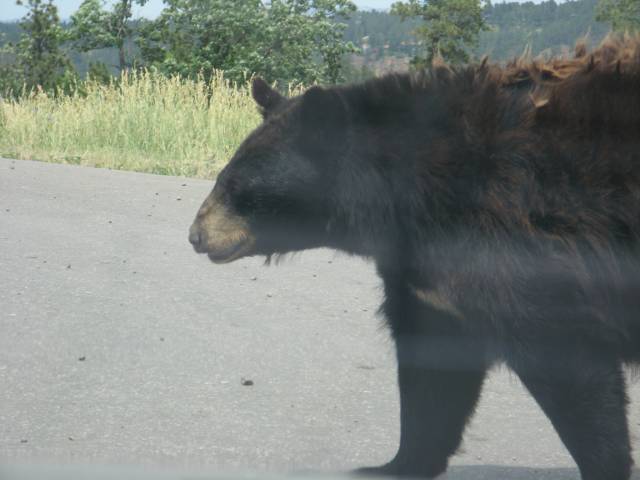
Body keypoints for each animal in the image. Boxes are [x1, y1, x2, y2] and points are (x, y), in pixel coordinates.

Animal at [188, 37, 640, 480]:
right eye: (222, 176)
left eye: (236, 186)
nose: (196, 235)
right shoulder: (431, 276)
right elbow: (432, 370)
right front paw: (395, 464)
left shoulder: (520, 248)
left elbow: (565, 356)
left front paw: (607, 465)